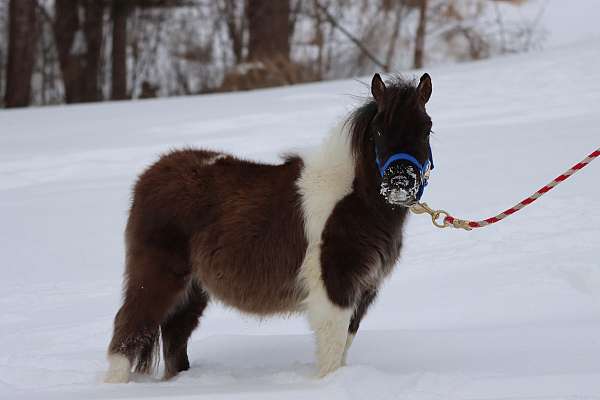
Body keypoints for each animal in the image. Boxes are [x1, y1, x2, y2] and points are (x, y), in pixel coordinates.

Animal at [105, 73, 434, 382]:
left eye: (426, 127)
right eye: (378, 129)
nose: (399, 183)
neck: (353, 199)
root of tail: (150, 176)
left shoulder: (363, 292)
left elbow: (343, 348)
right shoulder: (334, 289)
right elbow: (331, 350)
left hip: (193, 290)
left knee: (174, 339)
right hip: (157, 277)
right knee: (129, 329)